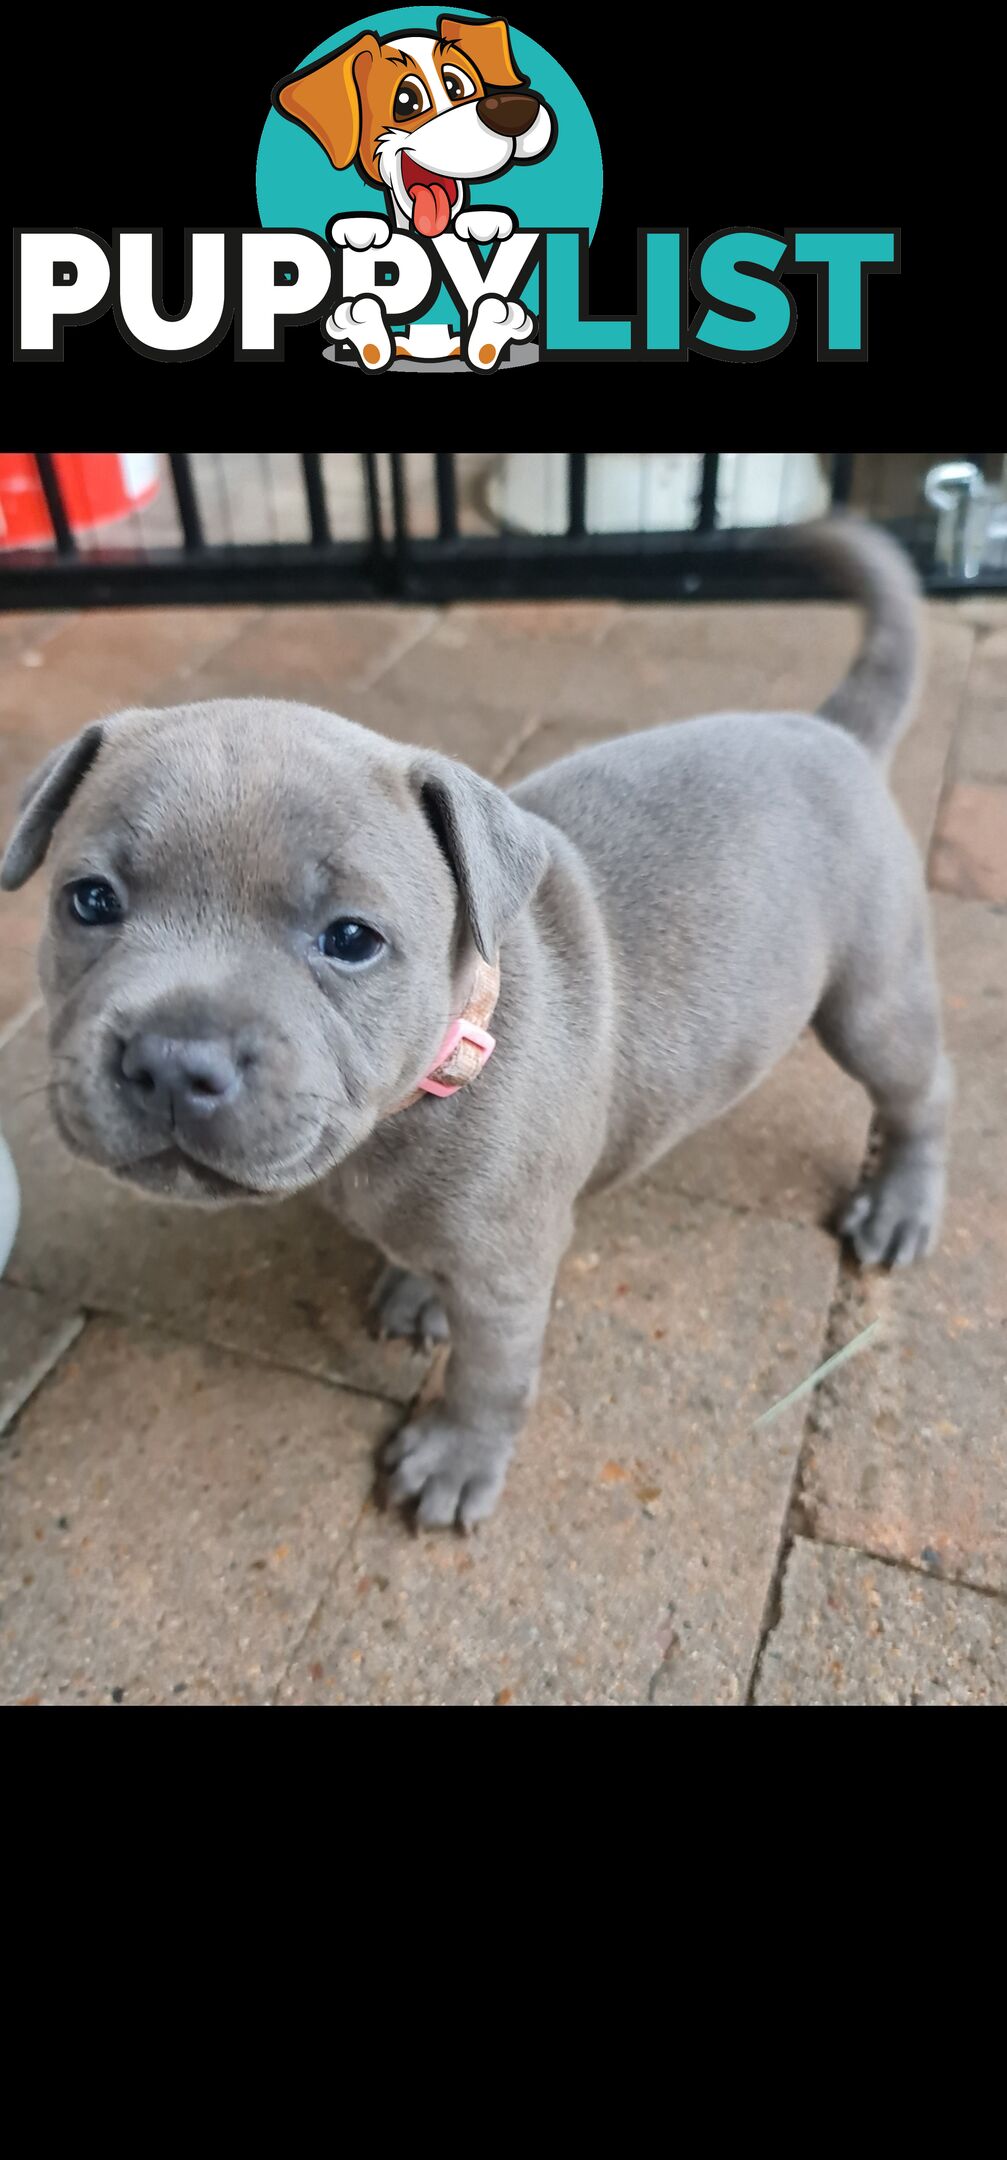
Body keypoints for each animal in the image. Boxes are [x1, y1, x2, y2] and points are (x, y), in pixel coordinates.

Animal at [1, 522, 942, 1529]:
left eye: (351, 940)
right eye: (90, 901)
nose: (173, 1062)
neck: (440, 1065)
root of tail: (831, 732)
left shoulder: (507, 1273)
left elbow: (491, 1379)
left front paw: (454, 1460)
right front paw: (418, 1292)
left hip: (871, 998)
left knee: (923, 1092)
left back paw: (899, 1205)